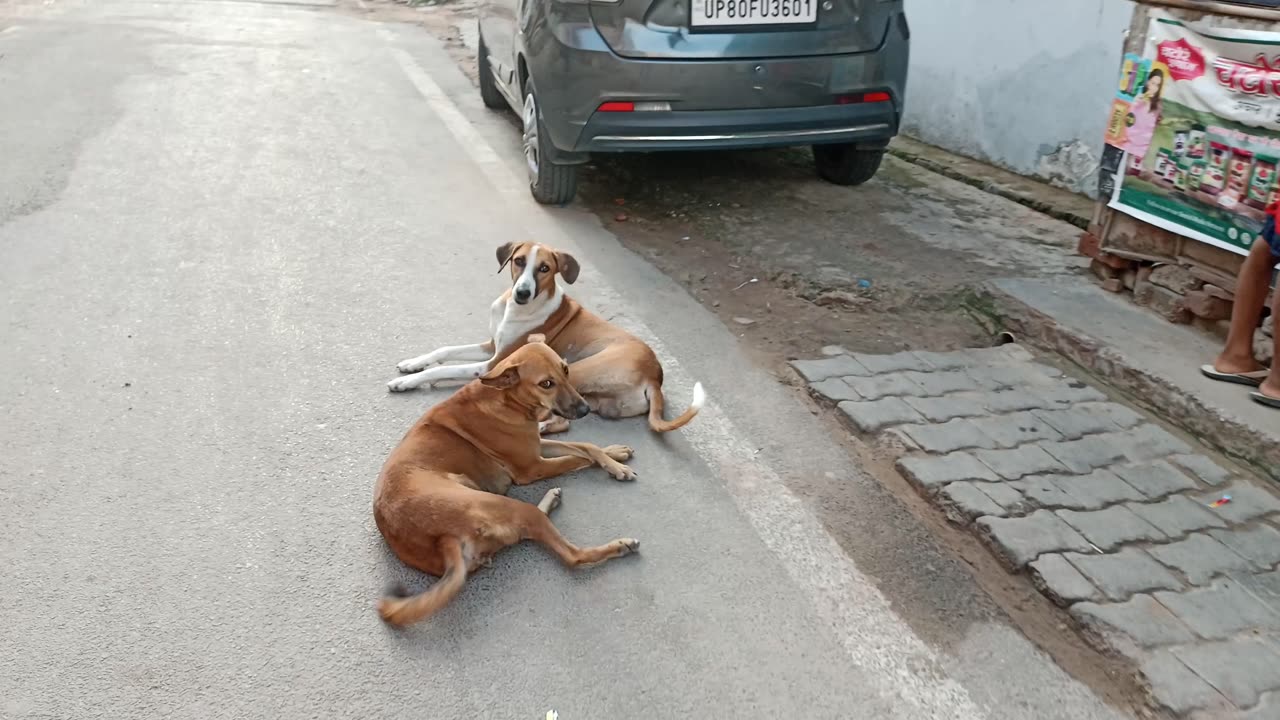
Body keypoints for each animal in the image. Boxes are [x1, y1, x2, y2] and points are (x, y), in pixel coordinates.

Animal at [376, 335, 640, 622]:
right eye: (546, 384)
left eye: (566, 370)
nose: (585, 409)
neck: (505, 397)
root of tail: (442, 541)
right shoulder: (533, 467)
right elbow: (578, 457)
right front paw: (615, 465)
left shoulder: (536, 447)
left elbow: (585, 446)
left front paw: (614, 455)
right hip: (505, 504)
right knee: (573, 555)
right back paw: (621, 545)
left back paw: (551, 499)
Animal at [391, 240, 701, 430]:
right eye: (518, 261)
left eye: (545, 268)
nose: (522, 293)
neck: (514, 308)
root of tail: (655, 376)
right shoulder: (491, 346)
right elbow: (444, 350)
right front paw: (412, 364)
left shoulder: (494, 363)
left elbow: (443, 369)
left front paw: (406, 382)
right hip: (594, 400)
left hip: (573, 372)